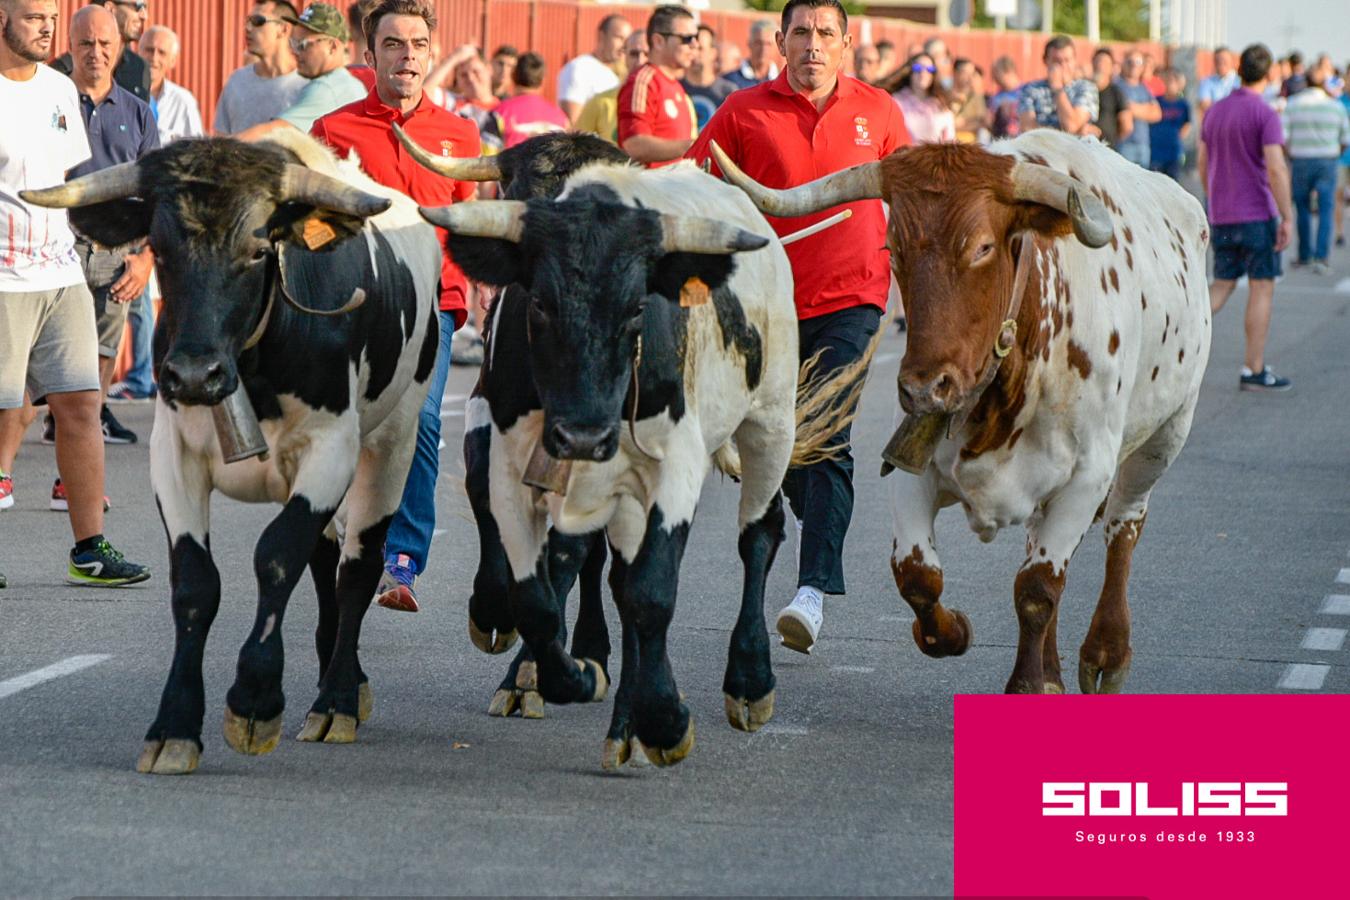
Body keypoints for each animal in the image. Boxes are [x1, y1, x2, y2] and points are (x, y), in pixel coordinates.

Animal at [23, 130, 440, 771]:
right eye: (159, 249)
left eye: (258, 250)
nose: (195, 374)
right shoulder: (173, 456)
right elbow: (197, 582)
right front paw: (174, 726)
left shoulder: (332, 451)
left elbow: (276, 557)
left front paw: (255, 700)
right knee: (326, 563)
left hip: (393, 440)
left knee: (357, 567)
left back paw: (338, 699)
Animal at [405, 138, 864, 766]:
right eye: (538, 300)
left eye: (637, 307)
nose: (582, 435)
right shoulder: (491, 423)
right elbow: (529, 565)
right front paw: (508, 629)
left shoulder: (671, 466)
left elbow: (647, 590)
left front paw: (661, 719)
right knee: (605, 567)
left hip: (770, 421)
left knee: (759, 532)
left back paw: (747, 681)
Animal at [718, 126, 1215, 696]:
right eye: (893, 248)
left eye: (981, 247)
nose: (924, 388)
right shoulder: (910, 466)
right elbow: (918, 576)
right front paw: (953, 632)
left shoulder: (1087, 477)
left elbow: (1038, 589)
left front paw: (1026, 684)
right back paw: (1054, 672)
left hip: (1165, 436)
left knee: (1124, 528)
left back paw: (1106, 652)